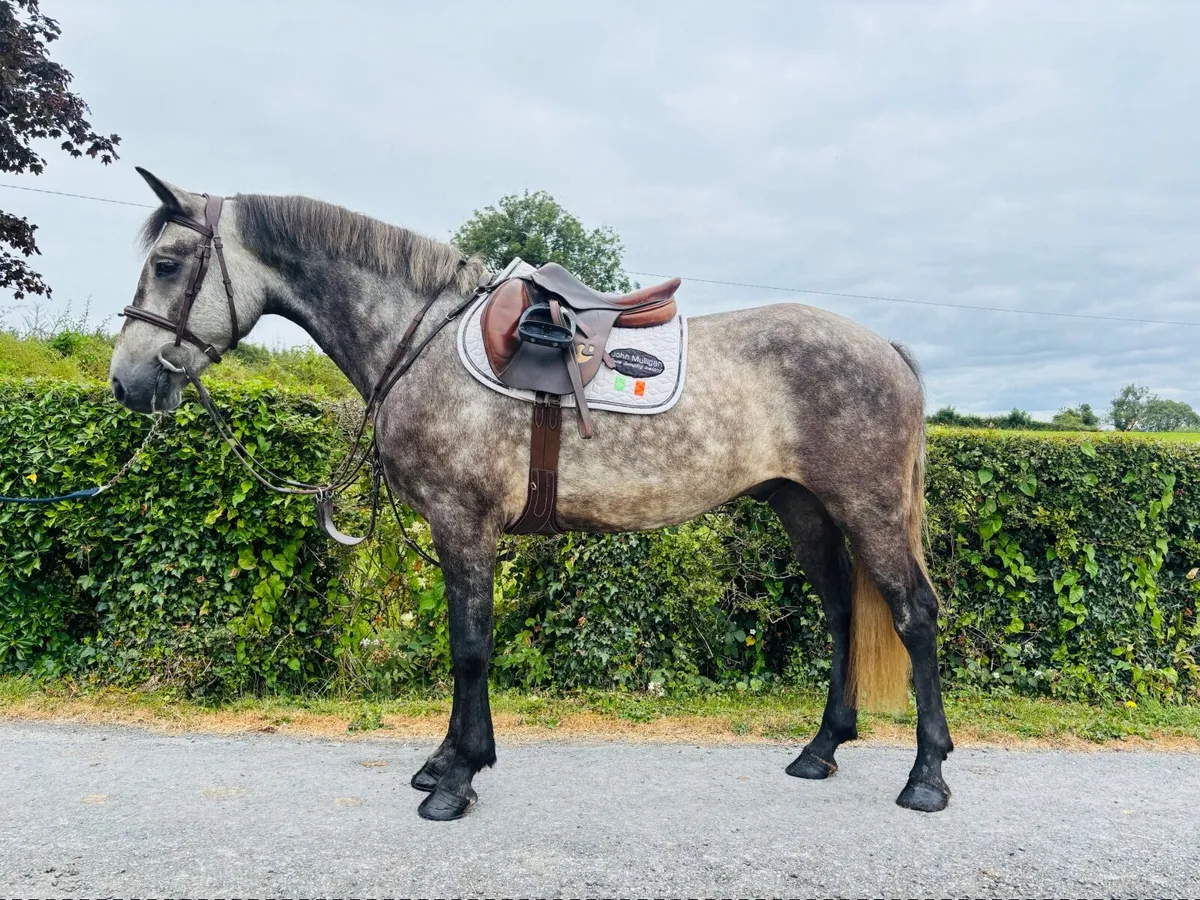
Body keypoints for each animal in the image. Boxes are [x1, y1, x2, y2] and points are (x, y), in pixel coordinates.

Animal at [110, 168, 953, 820]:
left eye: (172, 263)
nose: (128, 381)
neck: (419, 341)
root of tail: (884, 349)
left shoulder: (464, 523)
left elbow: (470, 649)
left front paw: (454, 779)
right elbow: (466, 645)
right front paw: (446, 760)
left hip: (868, 509)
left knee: (913, 615)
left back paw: (927, 776)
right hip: (802, 507)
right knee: (842, 613)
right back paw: (821, 749)